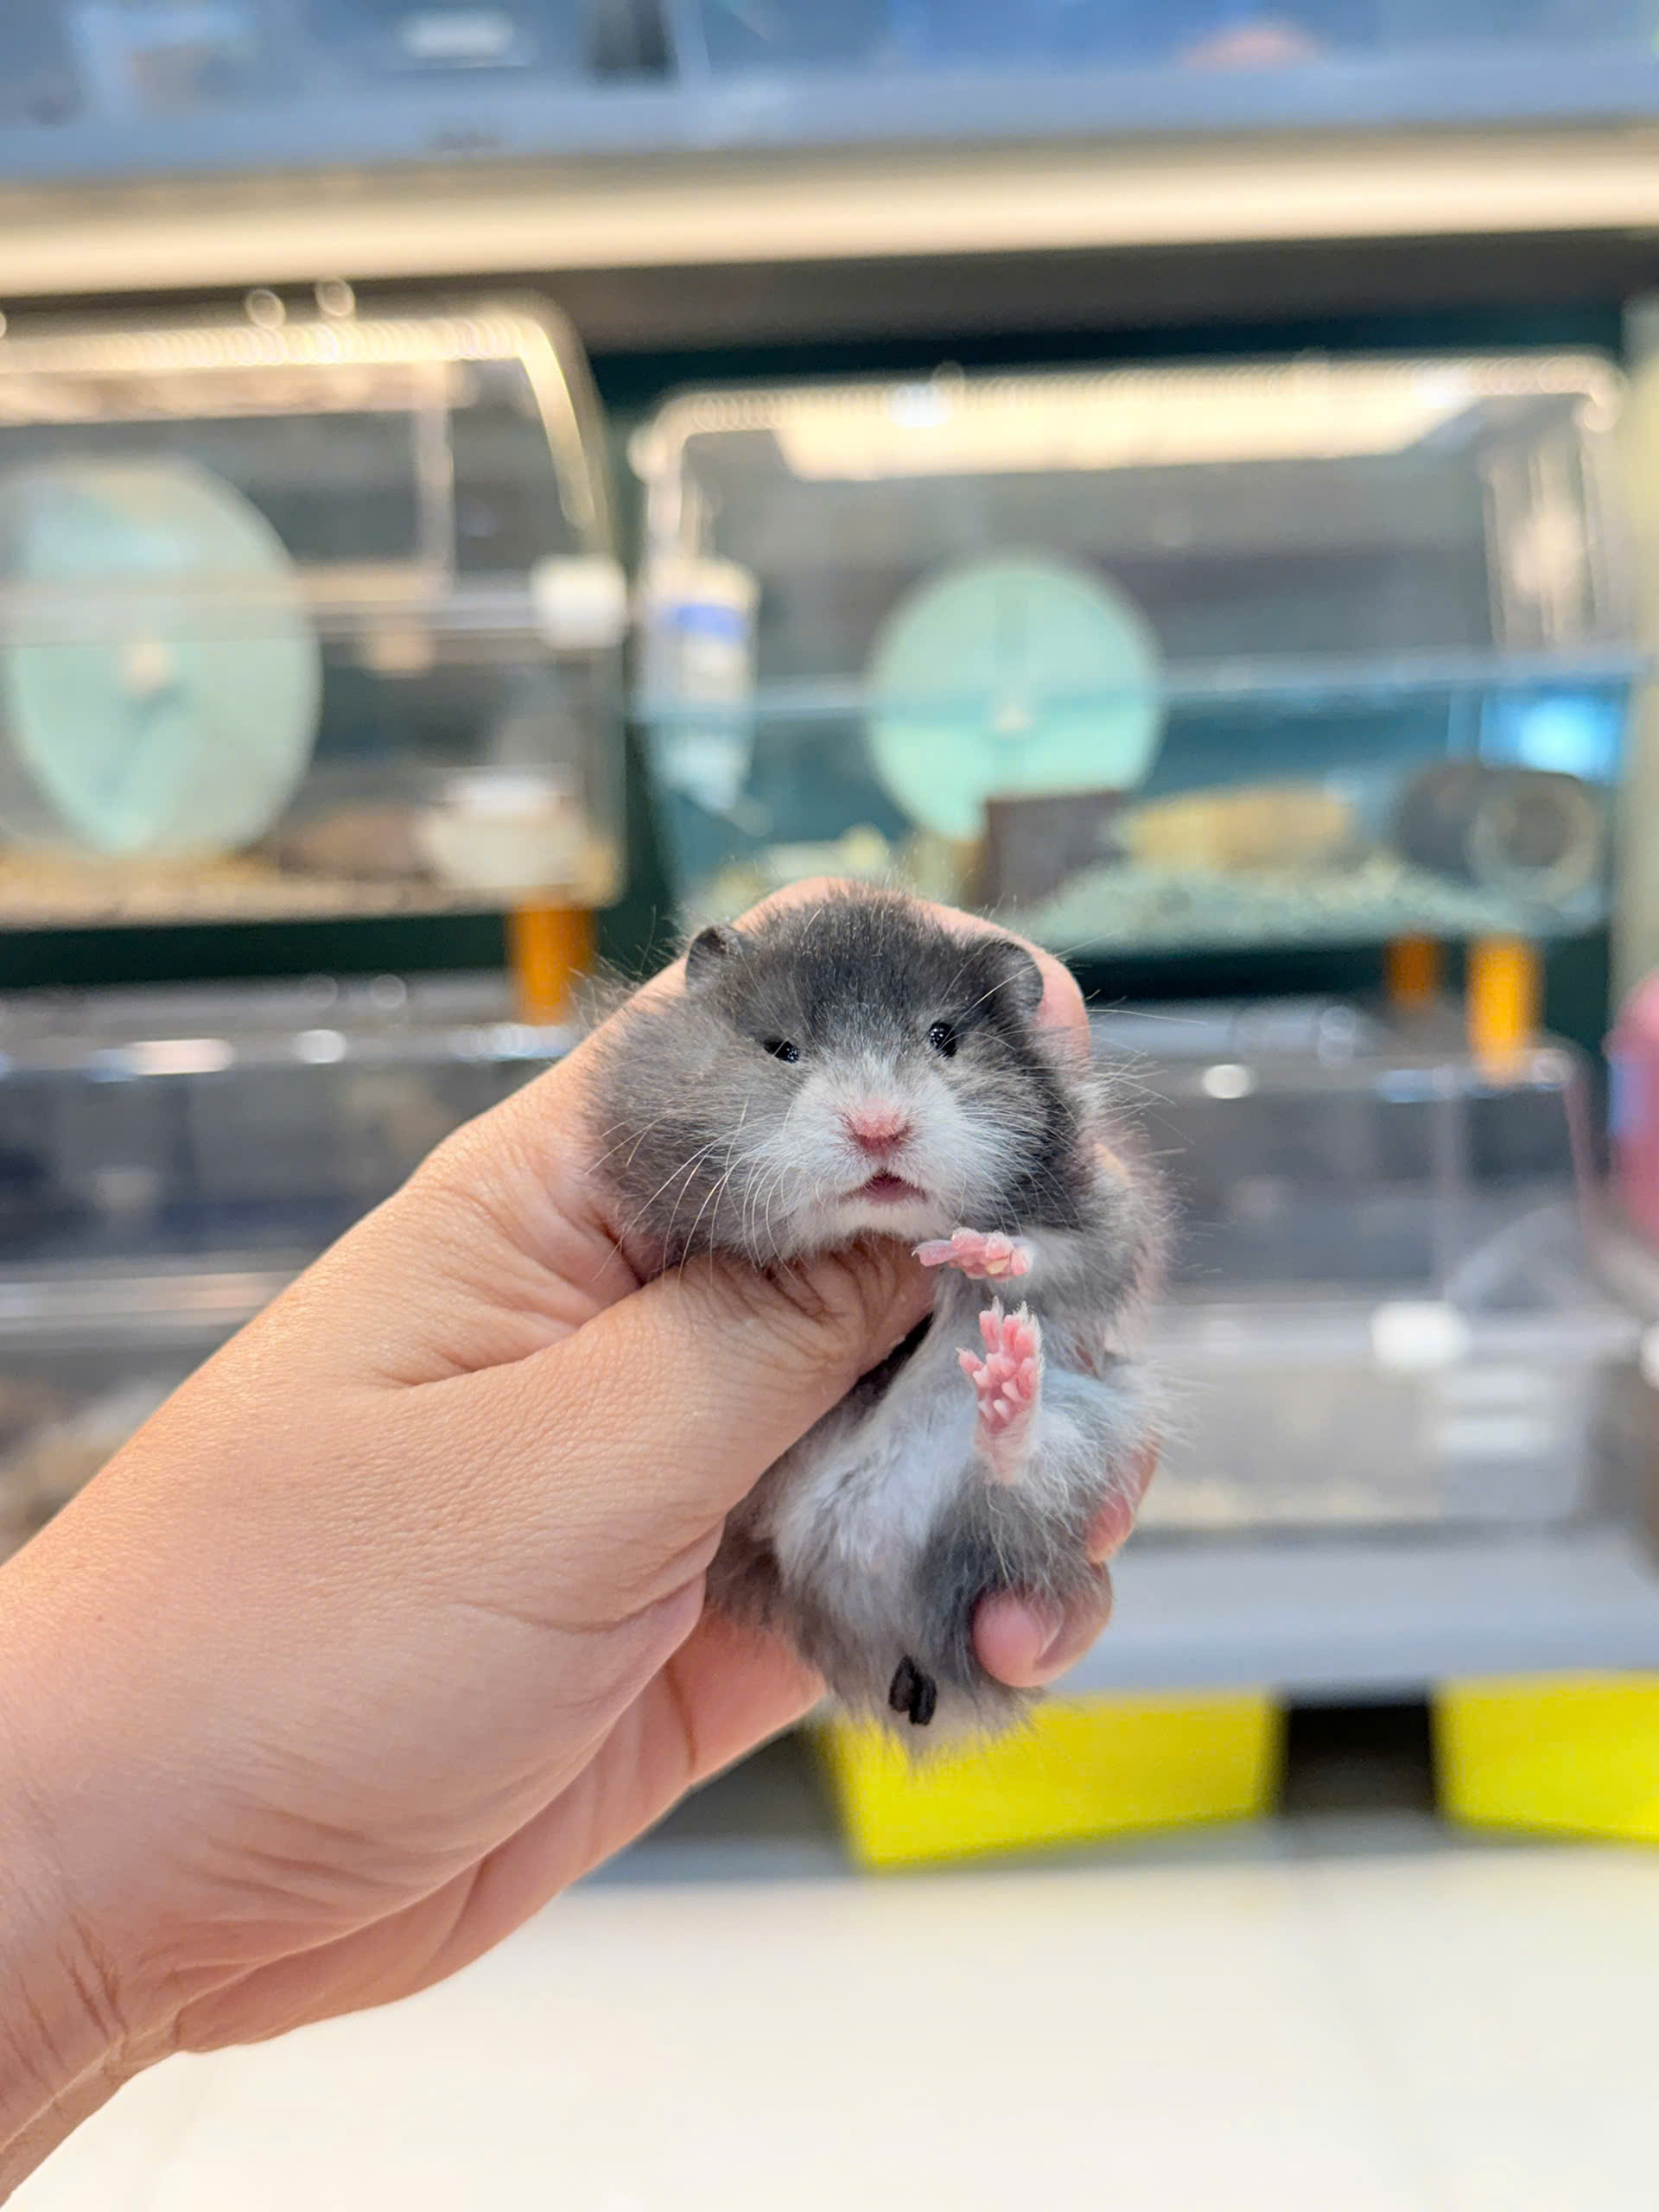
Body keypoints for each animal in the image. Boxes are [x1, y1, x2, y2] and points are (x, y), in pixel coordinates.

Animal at [585, 888, 1163, 1741]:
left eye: (944, 1038)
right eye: (782, 1049)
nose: (879, 1127)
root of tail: (862, 1586)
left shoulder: (1110, 1224)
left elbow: (1056, 1252)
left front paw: (977, 1254)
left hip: (1081, 1442)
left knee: (1015, 1469)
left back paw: (1006, 1381)